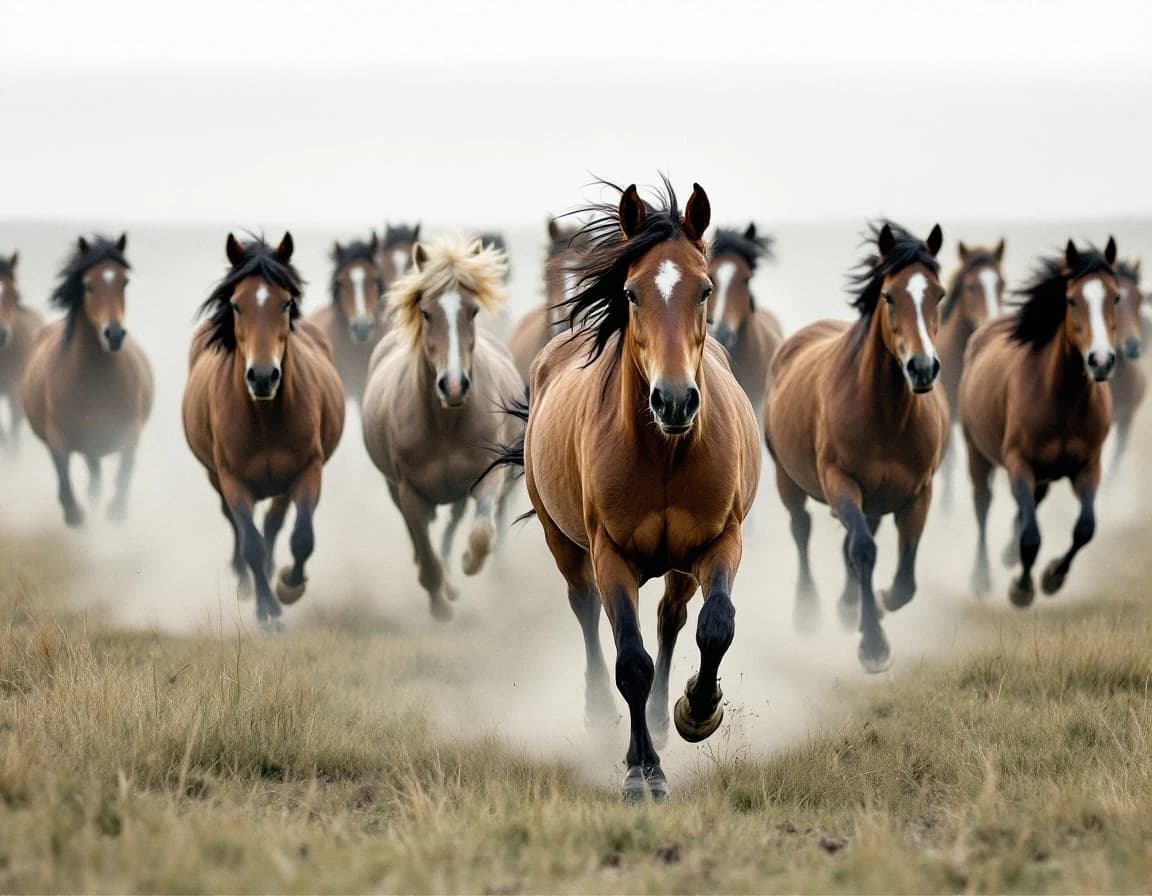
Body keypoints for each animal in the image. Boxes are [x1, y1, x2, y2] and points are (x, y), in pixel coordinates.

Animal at [21, 234, 153, 526]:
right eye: (88, 285)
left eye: (124, 282)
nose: (113, 334)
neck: (93, 380)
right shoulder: (58, 433)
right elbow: (62, 470)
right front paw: (74, 514)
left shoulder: (130, 429)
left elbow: (126, 468)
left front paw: (116, 511)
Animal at [183, 233, 345, 631]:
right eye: (236, 305)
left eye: (285, 303)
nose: (262, 376)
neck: (264, 417)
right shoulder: (231, 479)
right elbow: (250, 543)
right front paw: (267, 611)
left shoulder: (306, 471)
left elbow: (301, 538)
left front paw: (289, 585)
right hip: (216, 476)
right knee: (241, 528)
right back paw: (246, 582)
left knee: (274, 524)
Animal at [361, 234, 522, 621]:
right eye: (426, 313)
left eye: (473, 311)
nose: (453, 385)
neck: (445, 424)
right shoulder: (408, 492)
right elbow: (424, 550)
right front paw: (440, 605)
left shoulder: (486, 476)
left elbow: (482, 532)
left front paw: (467, 562)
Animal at [764, 222, 947, 669]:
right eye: (889, 296)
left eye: (938, 294)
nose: (922, 368)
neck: (885, 417)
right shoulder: (840, 481)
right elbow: (863, 549)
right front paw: (874, 646)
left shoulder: (918, 492)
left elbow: (904, 579)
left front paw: (876, 606)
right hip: (788, 480)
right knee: (802, 529)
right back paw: (809, 612)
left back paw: (849, 607)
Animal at [961, 239, 1119, 606]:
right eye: (1072, 300)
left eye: (1116, 297)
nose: (1101, 361)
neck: (1061, 399)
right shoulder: (1019, 462)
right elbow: (1032, 536)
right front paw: (1021, 589)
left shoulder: (1088, 465)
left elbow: (1085, 529)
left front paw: (1053, 577)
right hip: (977, 452)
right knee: (982, 505)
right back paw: (981, 577)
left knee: (1034, 501)